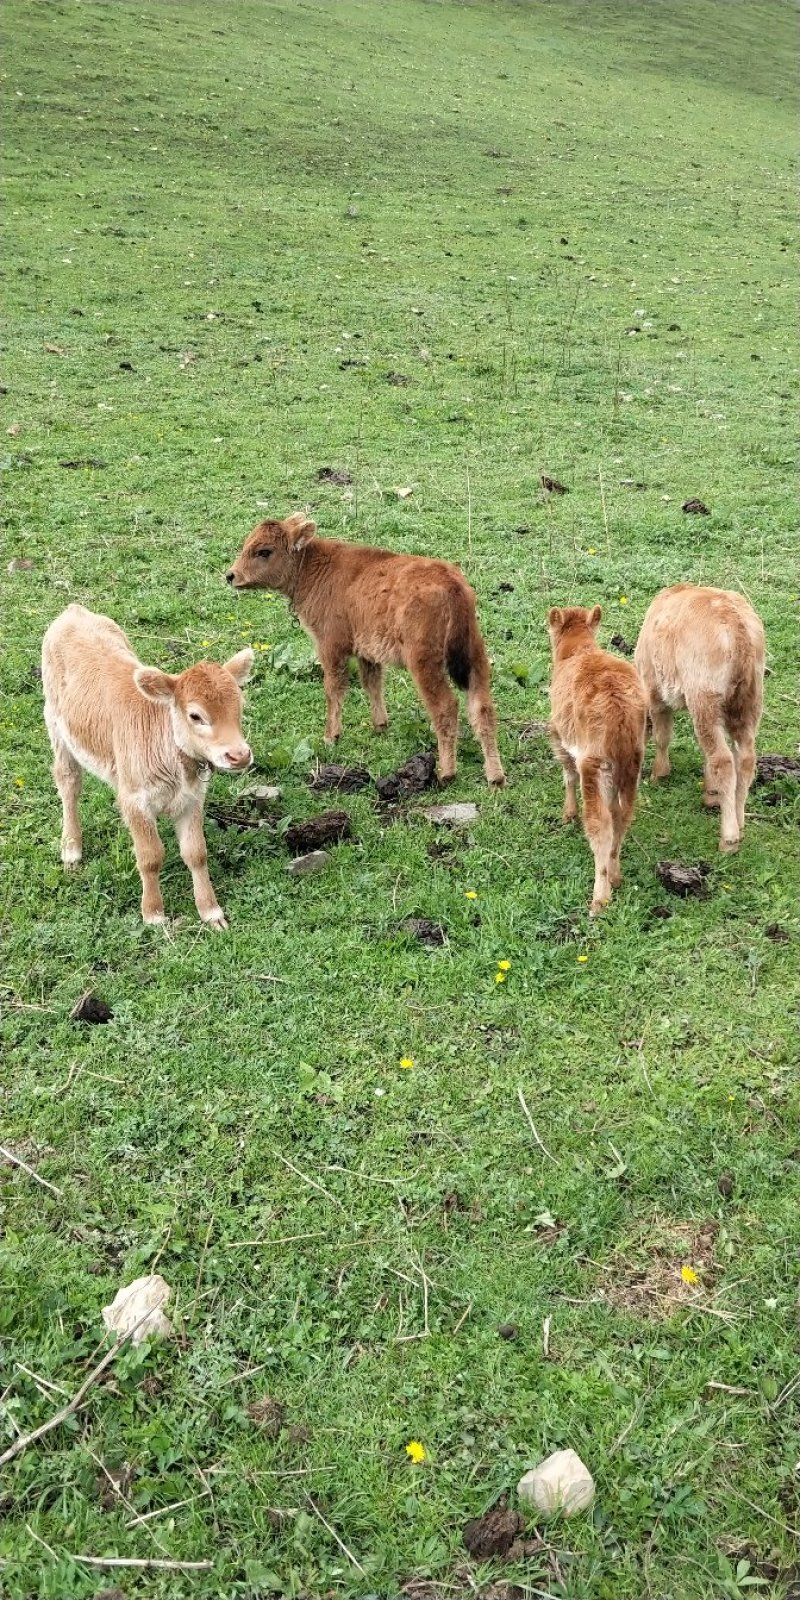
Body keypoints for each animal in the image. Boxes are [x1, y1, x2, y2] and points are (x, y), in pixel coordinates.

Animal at [42, 604, 252, 934]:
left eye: (239, 707)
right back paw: (72, 849)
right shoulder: (134, 799)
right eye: (196, 715)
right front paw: (153, 914)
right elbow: (151, 856)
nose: (239, 755)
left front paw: (211, 912)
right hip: (55, 722)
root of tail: (73, 610)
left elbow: (196, 852)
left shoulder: (193, 798)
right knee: (68, 781)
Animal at [225, 515, 502, 784]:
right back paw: (496, 778)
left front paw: (331, 736)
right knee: (482, 708)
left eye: (264, 551)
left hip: (424, 663)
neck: (314, 567)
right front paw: (380, 725)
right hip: (475, 655)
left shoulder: (331, 648)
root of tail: (452, 584)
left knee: (446, 707)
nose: (231, 575)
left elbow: (334, 689)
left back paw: (447, 773)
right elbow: (372, 684)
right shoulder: (367, 653)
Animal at [633, 579, 764, 851]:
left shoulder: (655, 693)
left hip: (705, 696)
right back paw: (739, 820)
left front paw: (659, 774)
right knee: (744, 758)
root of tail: (737, 627)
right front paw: (712, 794)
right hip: (749, 702)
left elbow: (663, 736)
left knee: (723, 760)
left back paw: (729, 837)